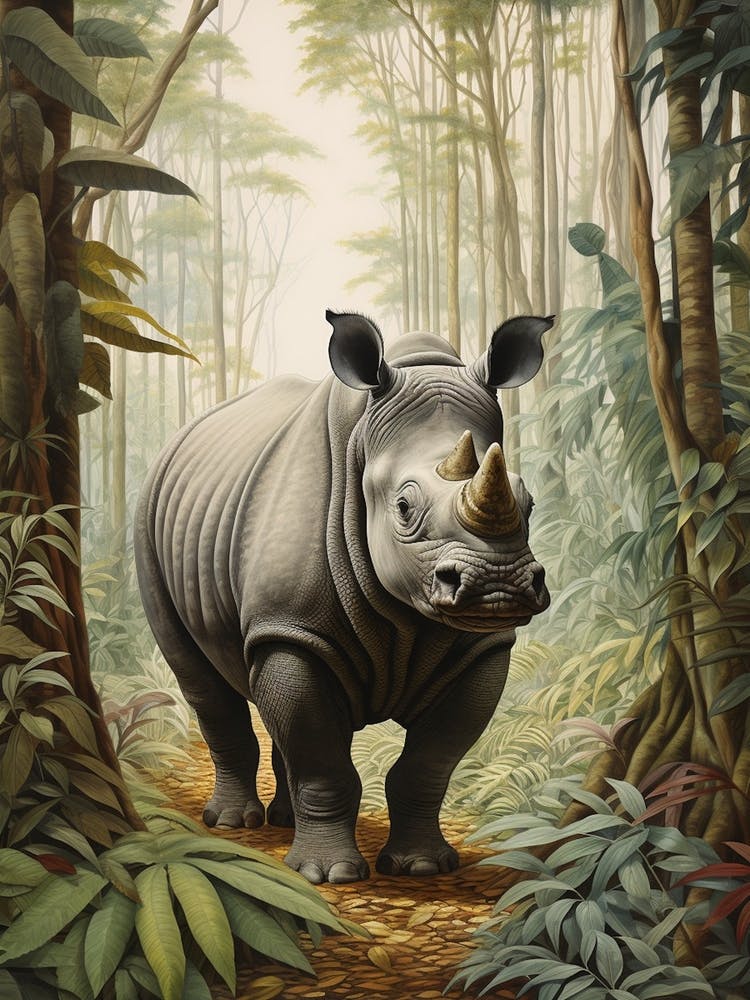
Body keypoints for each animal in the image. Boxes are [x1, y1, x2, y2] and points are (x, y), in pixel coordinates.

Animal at [134, 310, 552, 884]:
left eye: (528, 501)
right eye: (403, 507)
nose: (498, 585)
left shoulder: (482, 648)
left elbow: (429, 763)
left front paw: (422, 867)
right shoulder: (291, 626)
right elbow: (322, 760)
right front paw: (326, 875)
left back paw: (283, 822)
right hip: (148, 517)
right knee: (202, 681)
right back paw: (233, 824)